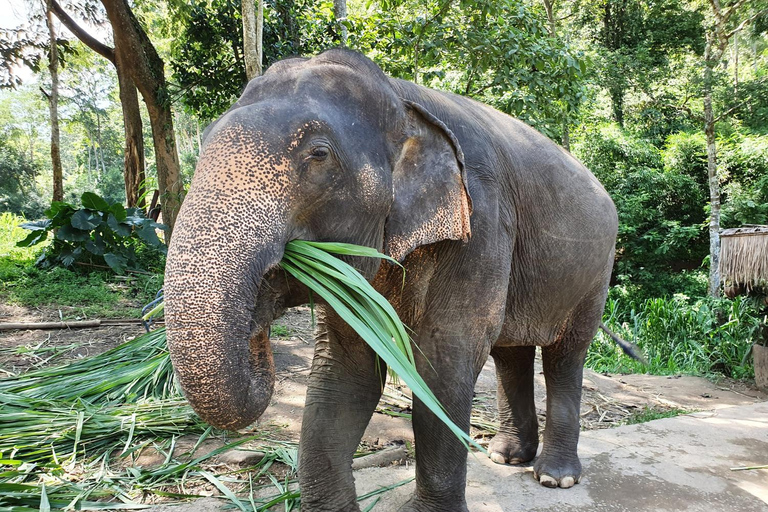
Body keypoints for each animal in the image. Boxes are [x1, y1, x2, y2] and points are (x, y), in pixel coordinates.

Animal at [165, 49, 620, 512]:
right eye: (204, 139)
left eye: (318, 154)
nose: (257, 327)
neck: (401, 98)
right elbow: (346, 369)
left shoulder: (483, 222)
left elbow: (444, 362)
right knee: (510, 353)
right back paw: (506, 456)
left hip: (597, 270)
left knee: (565, 356)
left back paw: (555, 477)